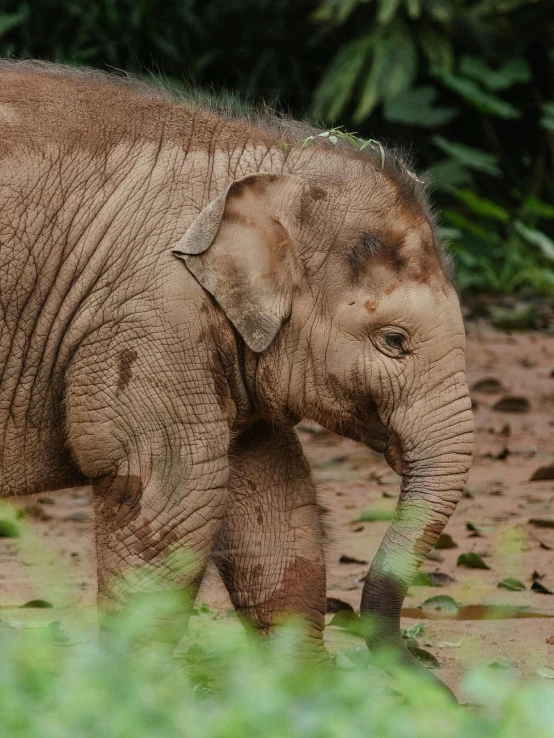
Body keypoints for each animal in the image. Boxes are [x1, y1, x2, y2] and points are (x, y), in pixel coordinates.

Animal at [0, 63, 470, 688]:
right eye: (395, 342)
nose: (441, 687)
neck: (269, 162)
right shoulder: (150, 318)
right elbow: (171, 488)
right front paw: (135, 693)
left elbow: (273, 498)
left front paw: (311, 690)